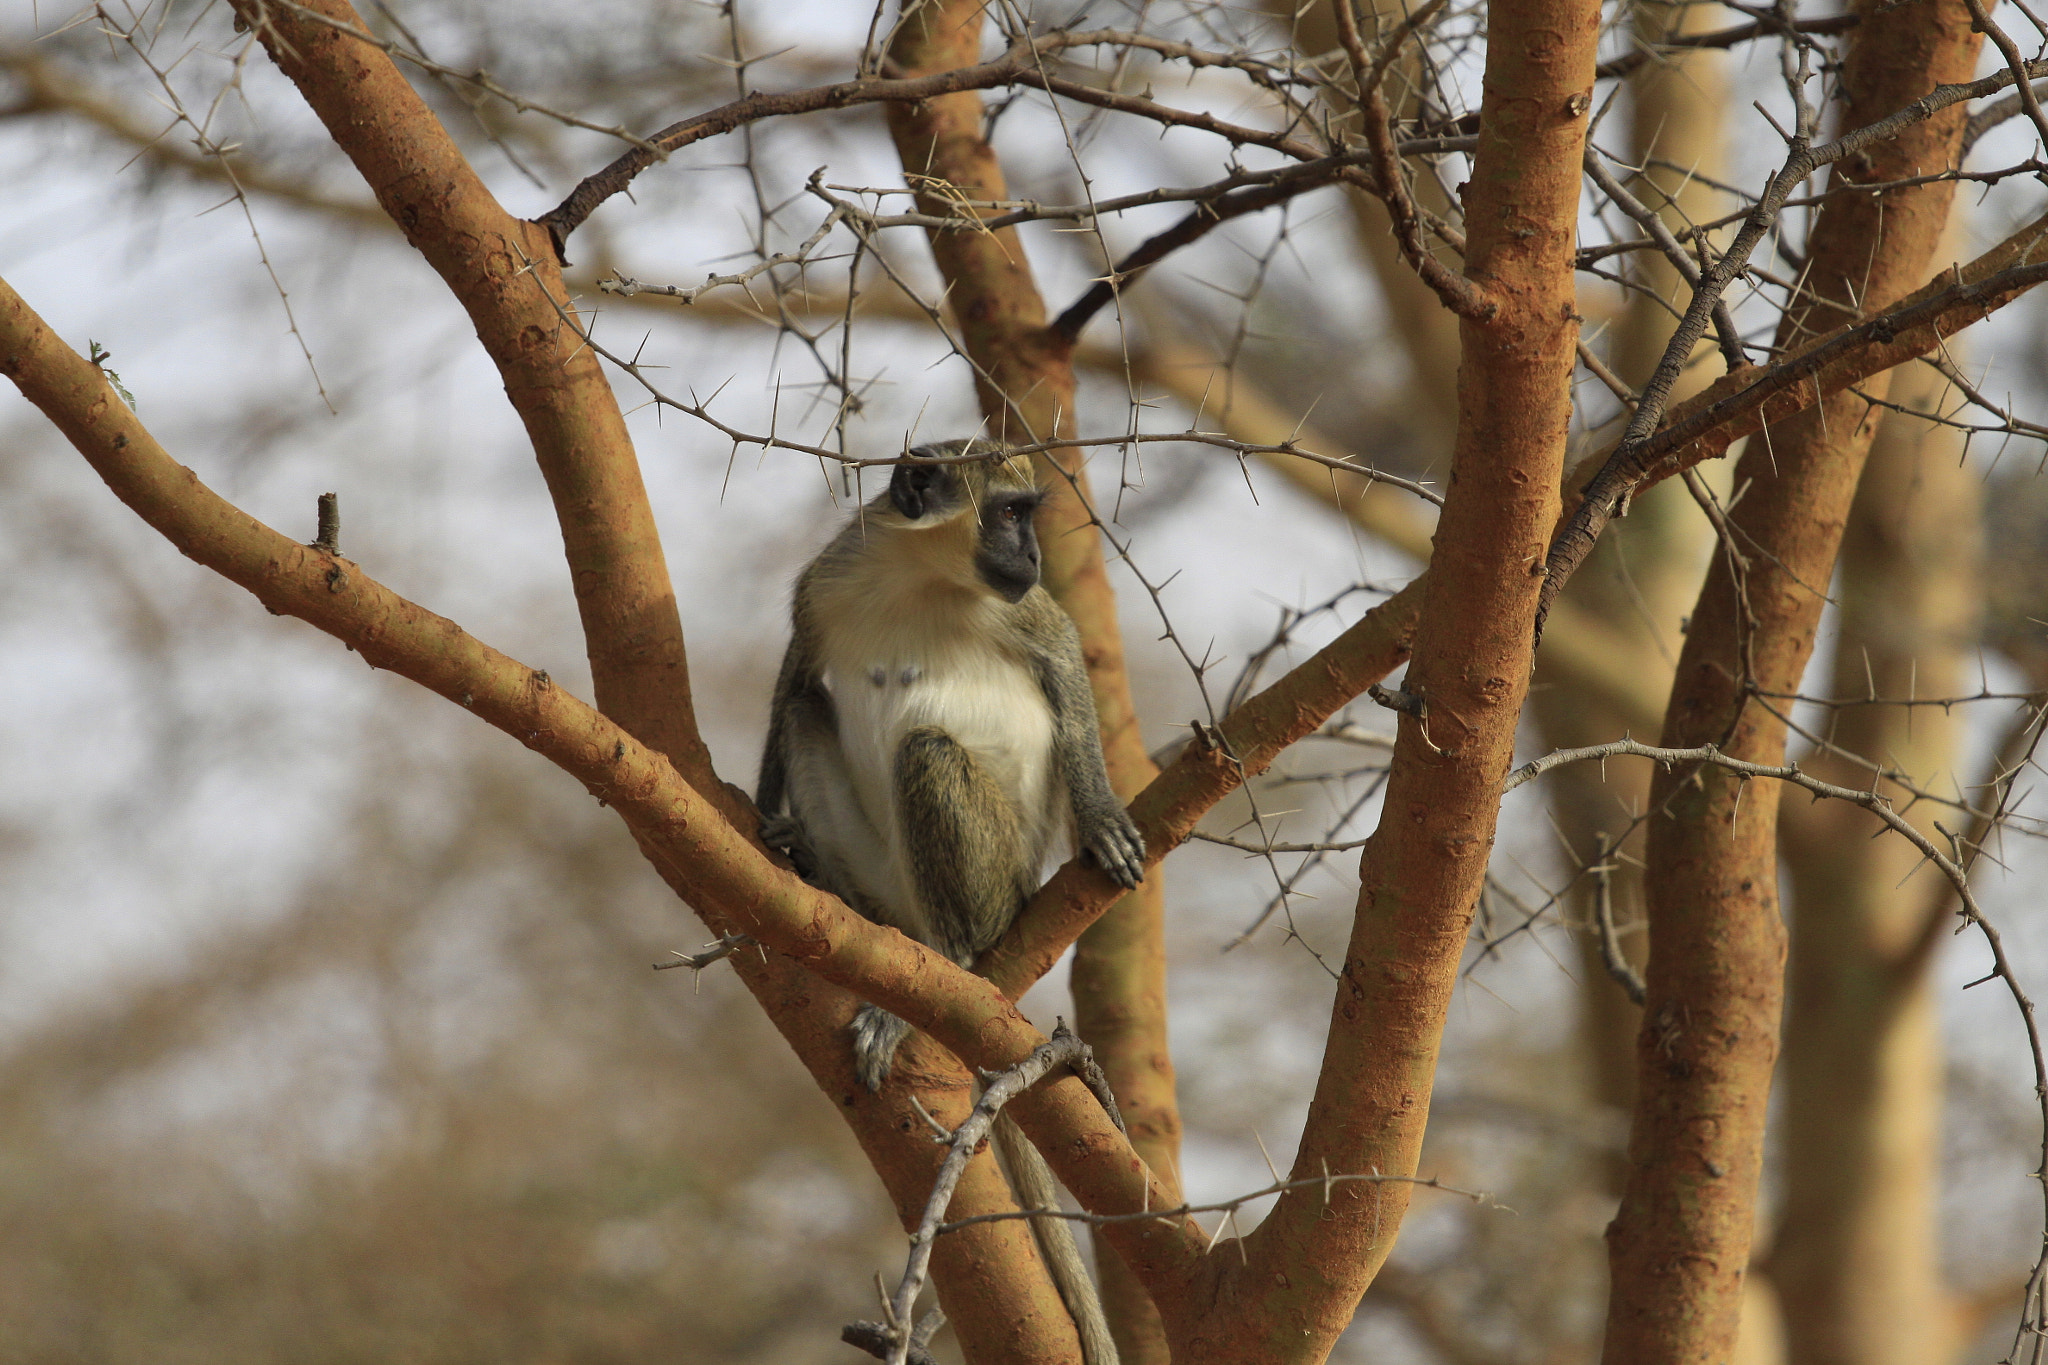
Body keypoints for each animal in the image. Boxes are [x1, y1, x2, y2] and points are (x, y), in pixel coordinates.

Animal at [757, 437, 1146, 1365]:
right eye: (1008, 512)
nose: (1032, 554)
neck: (921, 576)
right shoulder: (828, 579)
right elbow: (795, 669)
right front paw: (758, 812)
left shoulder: (1029, 613)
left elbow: (1065, 661)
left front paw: (1099, 811)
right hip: (881, 873)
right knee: (808, 706)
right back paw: (822, 876)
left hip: (997, 877)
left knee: (927, 751)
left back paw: (947, 964)